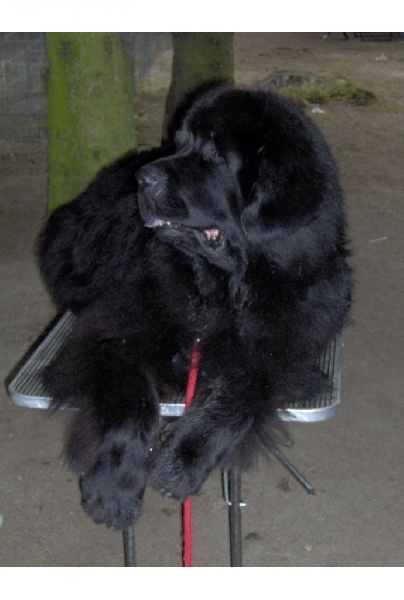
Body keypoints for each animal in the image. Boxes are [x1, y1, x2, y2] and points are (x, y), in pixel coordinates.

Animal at [37, 86, 352, 530]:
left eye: (216, 155)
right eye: (182, 143)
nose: (144, 179)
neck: (221, 290)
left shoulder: (287, 350)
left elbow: (244, 390)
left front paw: (183, 460)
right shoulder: (107, 333)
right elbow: (132, 399)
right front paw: (114, 487)